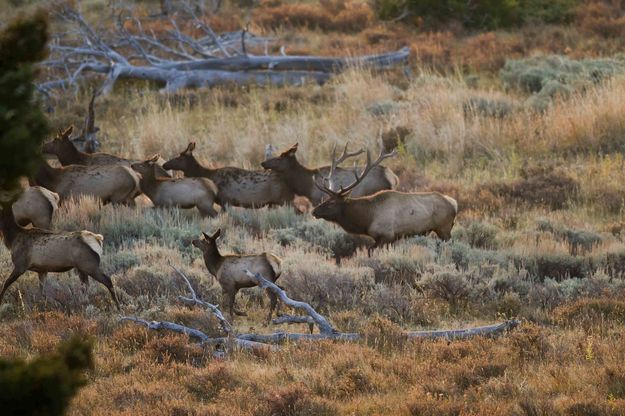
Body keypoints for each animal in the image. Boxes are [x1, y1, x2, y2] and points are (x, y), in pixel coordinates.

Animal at [312, 148, 458, 255]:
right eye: (326, 199)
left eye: (332, 203)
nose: (314, 211)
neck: (367, 219)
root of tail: (454, 204)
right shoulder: (388, 239)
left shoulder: (386, 235)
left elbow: (370, 251)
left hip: (444, 228)